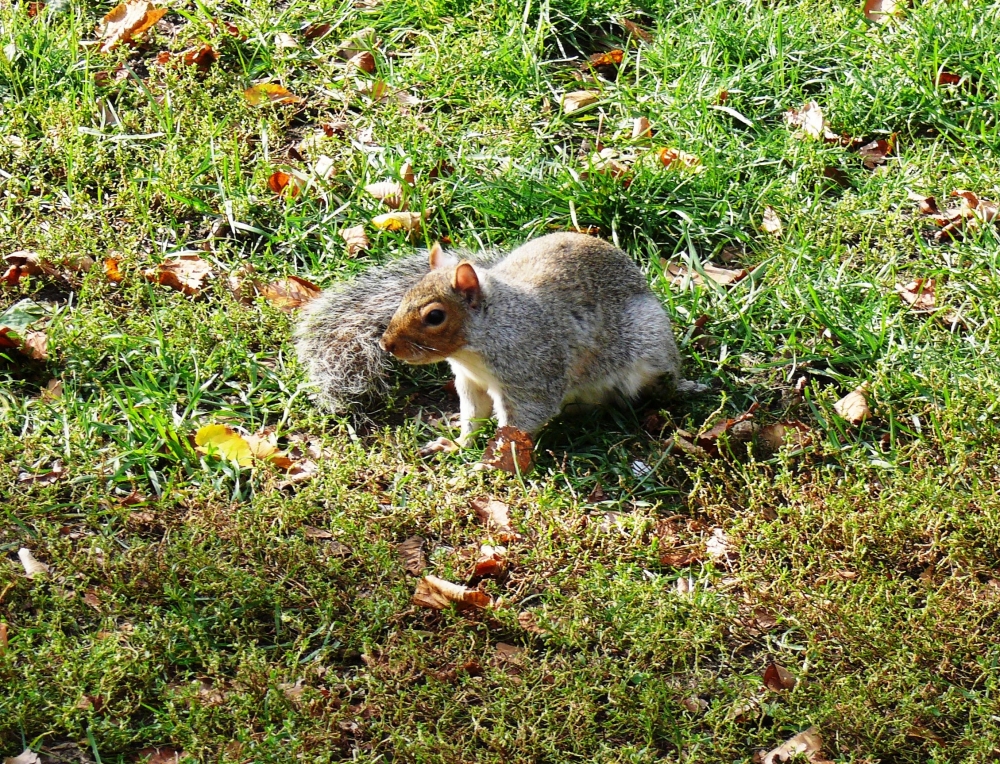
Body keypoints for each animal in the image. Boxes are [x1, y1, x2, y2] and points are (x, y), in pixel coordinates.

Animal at [294, 234, 704, 448]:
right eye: (404, 294)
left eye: (435, 317)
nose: (387, 345)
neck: (477, 347)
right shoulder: (470, 382)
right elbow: (473, 414)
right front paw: (460, 443)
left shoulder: (532, 374)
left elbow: (519, 420)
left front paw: (494, 459)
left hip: (649, 343)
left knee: (660, 382)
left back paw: (681, 388)